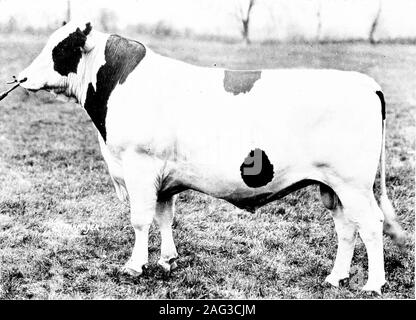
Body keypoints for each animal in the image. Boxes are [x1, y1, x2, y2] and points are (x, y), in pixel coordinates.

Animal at [17, 20, 404, 296]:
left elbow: (141, 220)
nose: (19, 77)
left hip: (353, 184)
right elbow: (165, 218)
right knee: (346, 227)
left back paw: (373, 284)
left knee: (370, 225)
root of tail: (367, 83)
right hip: (333, 186)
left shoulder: (139, 165)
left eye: (61, 48)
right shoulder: (163, 178)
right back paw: (336, 278)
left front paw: (135, 266)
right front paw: (167, 260)